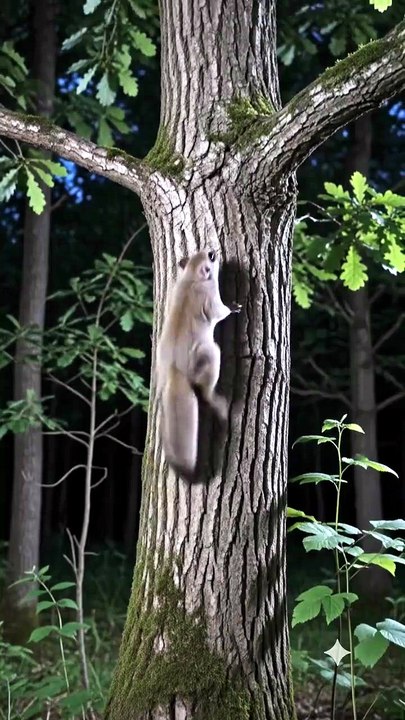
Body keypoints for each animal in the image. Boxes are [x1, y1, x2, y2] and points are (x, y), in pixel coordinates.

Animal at [156, 249, 241, 478]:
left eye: (205, 253)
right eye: (210, 257)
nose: (215, 249)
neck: (191, 277)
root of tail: (175, 369)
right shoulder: (211, 298)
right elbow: (221, 312)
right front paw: (234, 307)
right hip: (210, 356)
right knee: (206, 392)